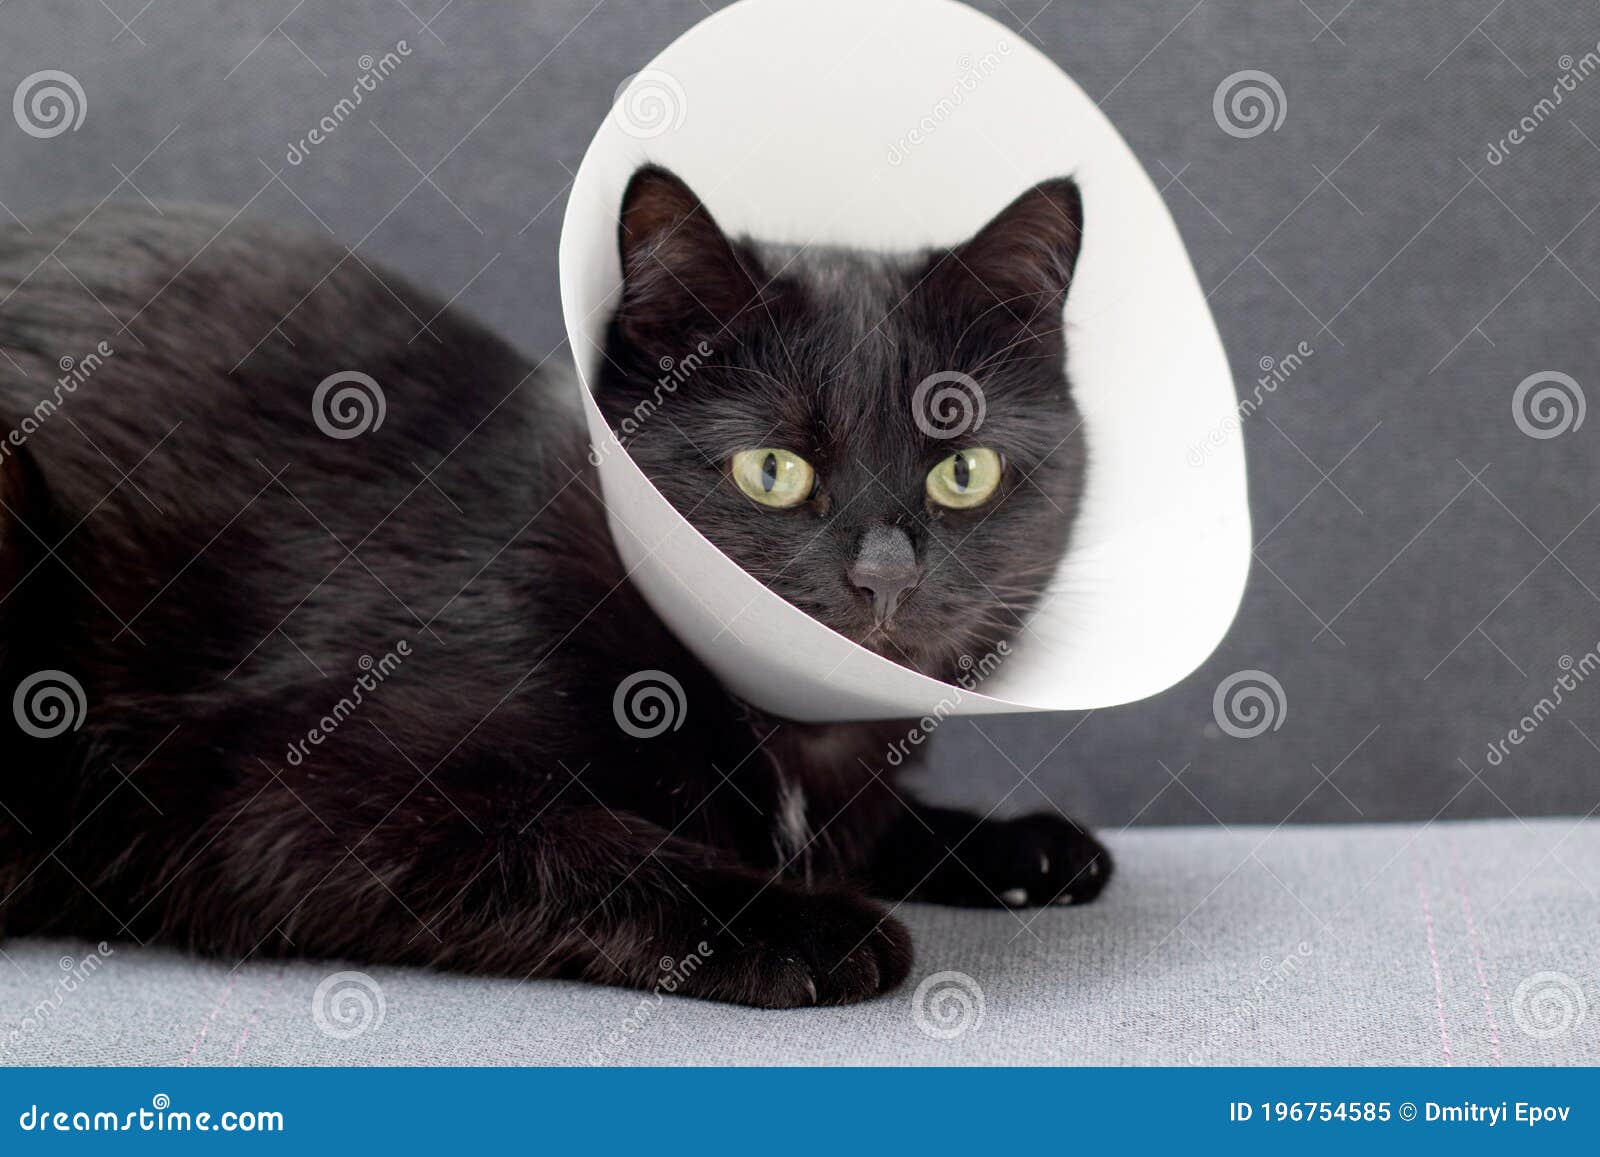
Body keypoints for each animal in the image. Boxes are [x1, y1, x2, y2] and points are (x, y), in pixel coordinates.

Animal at [0, 163, 1107, 1004]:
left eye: (963, 471)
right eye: (771, 468)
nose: (883, 575)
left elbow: (862, 825)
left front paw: (1022, 848)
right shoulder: (277, 797)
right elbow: (577, 843)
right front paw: (805, 928)